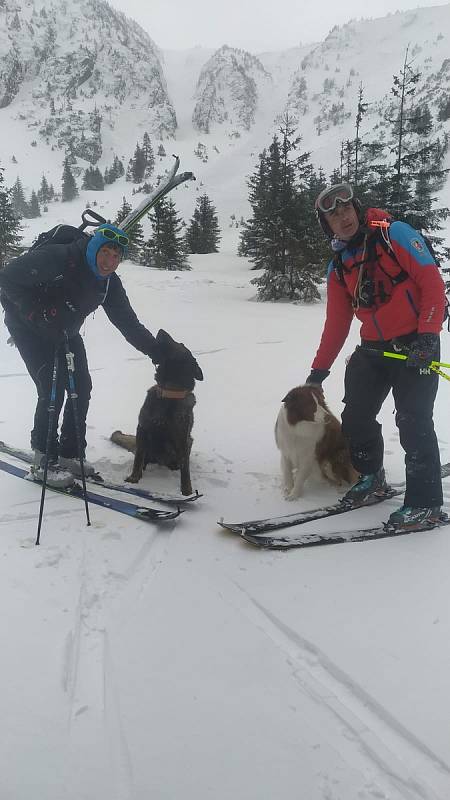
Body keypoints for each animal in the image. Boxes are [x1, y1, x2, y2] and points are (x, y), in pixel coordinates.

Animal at [110, 330, 204, 494]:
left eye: (180, 344)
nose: (161, 330)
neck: (169, 392)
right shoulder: (142, 428)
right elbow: (138, 458)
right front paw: (134, 478)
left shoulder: (182, 437)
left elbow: (185, 467)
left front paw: (187, 491)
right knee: (142, 456)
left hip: (188, 441)